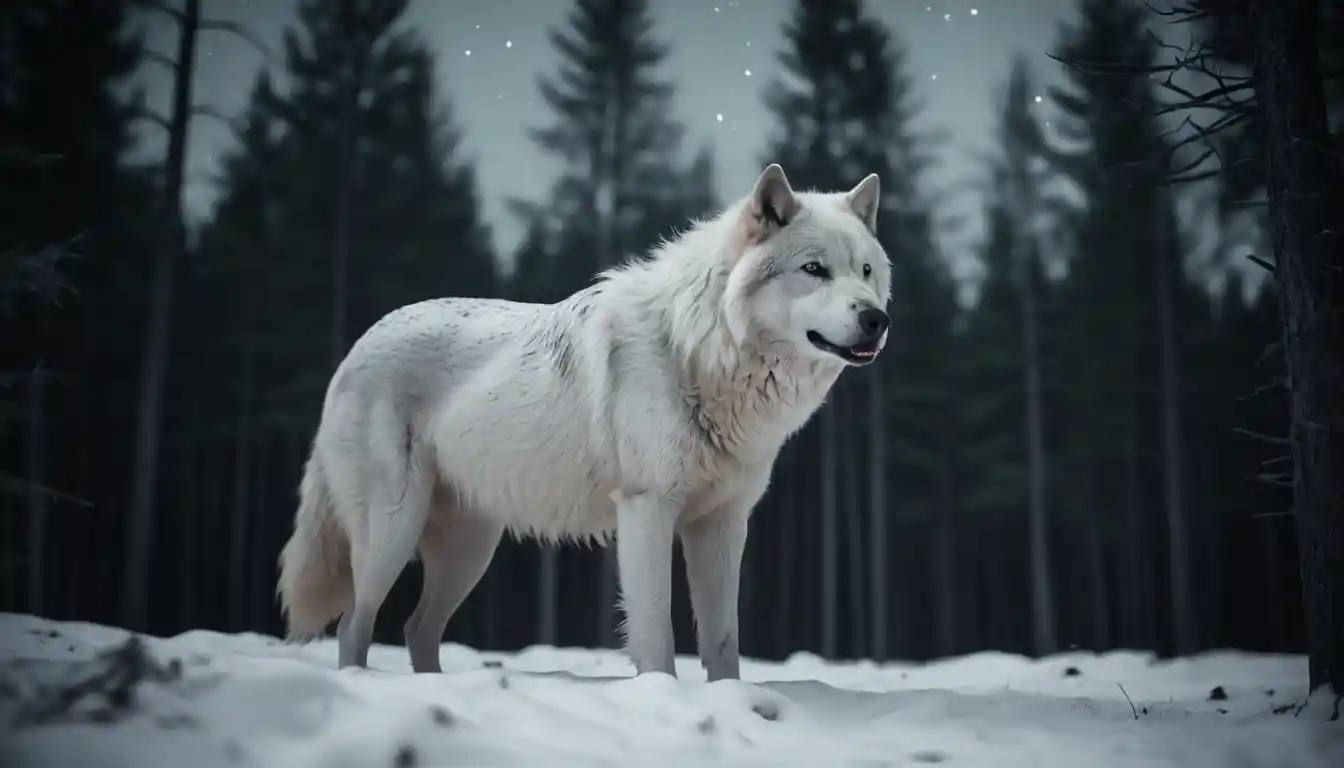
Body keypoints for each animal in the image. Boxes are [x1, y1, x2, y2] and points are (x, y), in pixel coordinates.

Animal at [277, 164, 892, 680]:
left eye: (865, 271)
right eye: (814, 270)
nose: (877, 319)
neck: (699, 352)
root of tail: (359, 344)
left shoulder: (722, 524)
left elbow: (723, 645)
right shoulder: (646, 511)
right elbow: (658, 637)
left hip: (469, 551)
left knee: (415, 628)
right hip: (393, 532)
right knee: (354, 623)